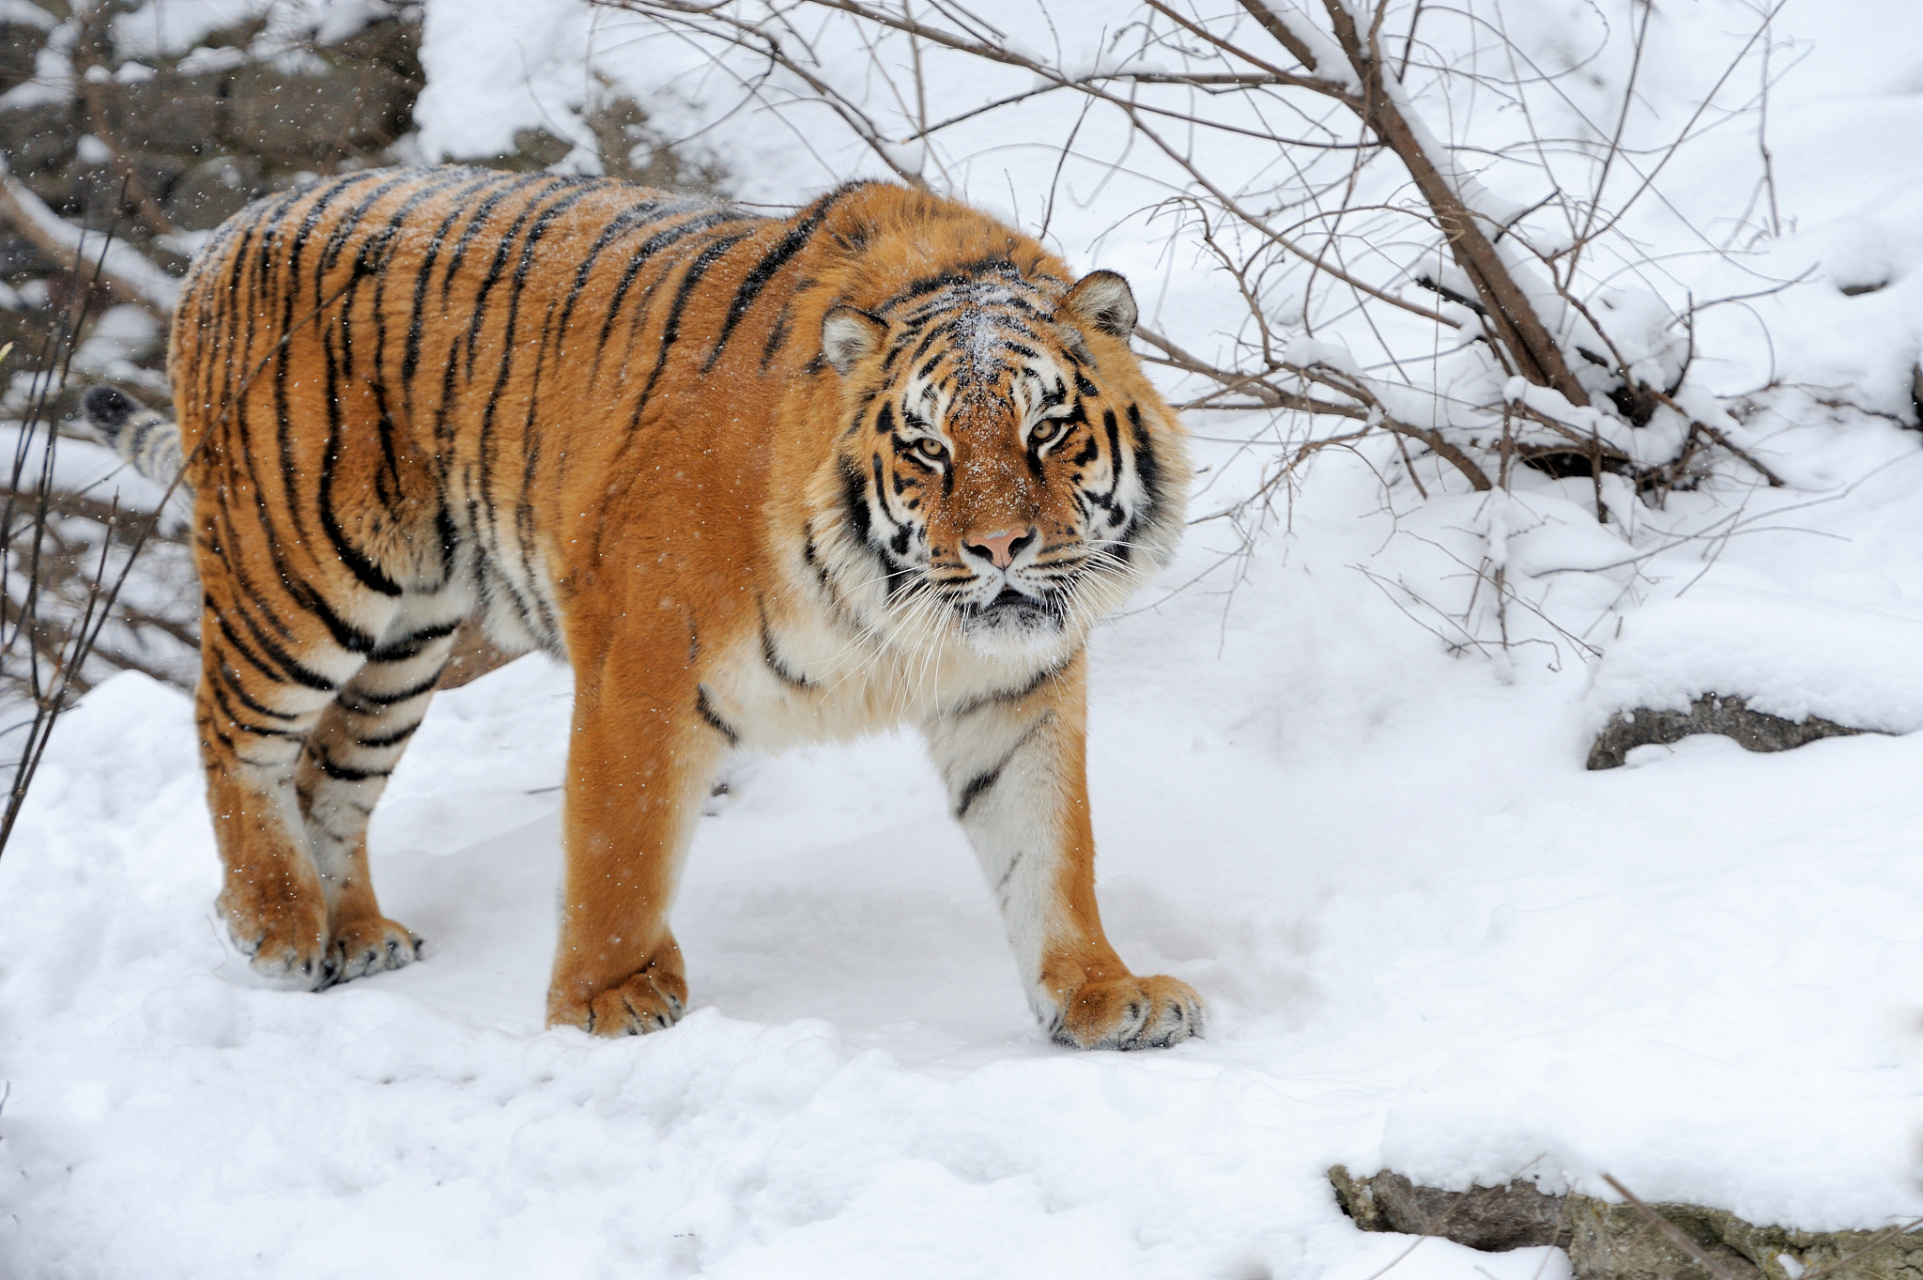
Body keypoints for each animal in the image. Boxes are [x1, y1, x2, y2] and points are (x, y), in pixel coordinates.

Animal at [84, 165, 1203, 1050]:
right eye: (928, 446)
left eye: (1047, 428)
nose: (999, 548)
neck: (898, 615)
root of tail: (232, 229)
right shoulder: (644, 659)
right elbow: (616, 851)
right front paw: (604, 1000)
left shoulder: (1013, 692)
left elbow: (1049, 849)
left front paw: (1101, 993)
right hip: (305, 570)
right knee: (231, 725)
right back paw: (274, 923)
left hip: (407, 640)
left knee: (329, 772)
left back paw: (350, 936)